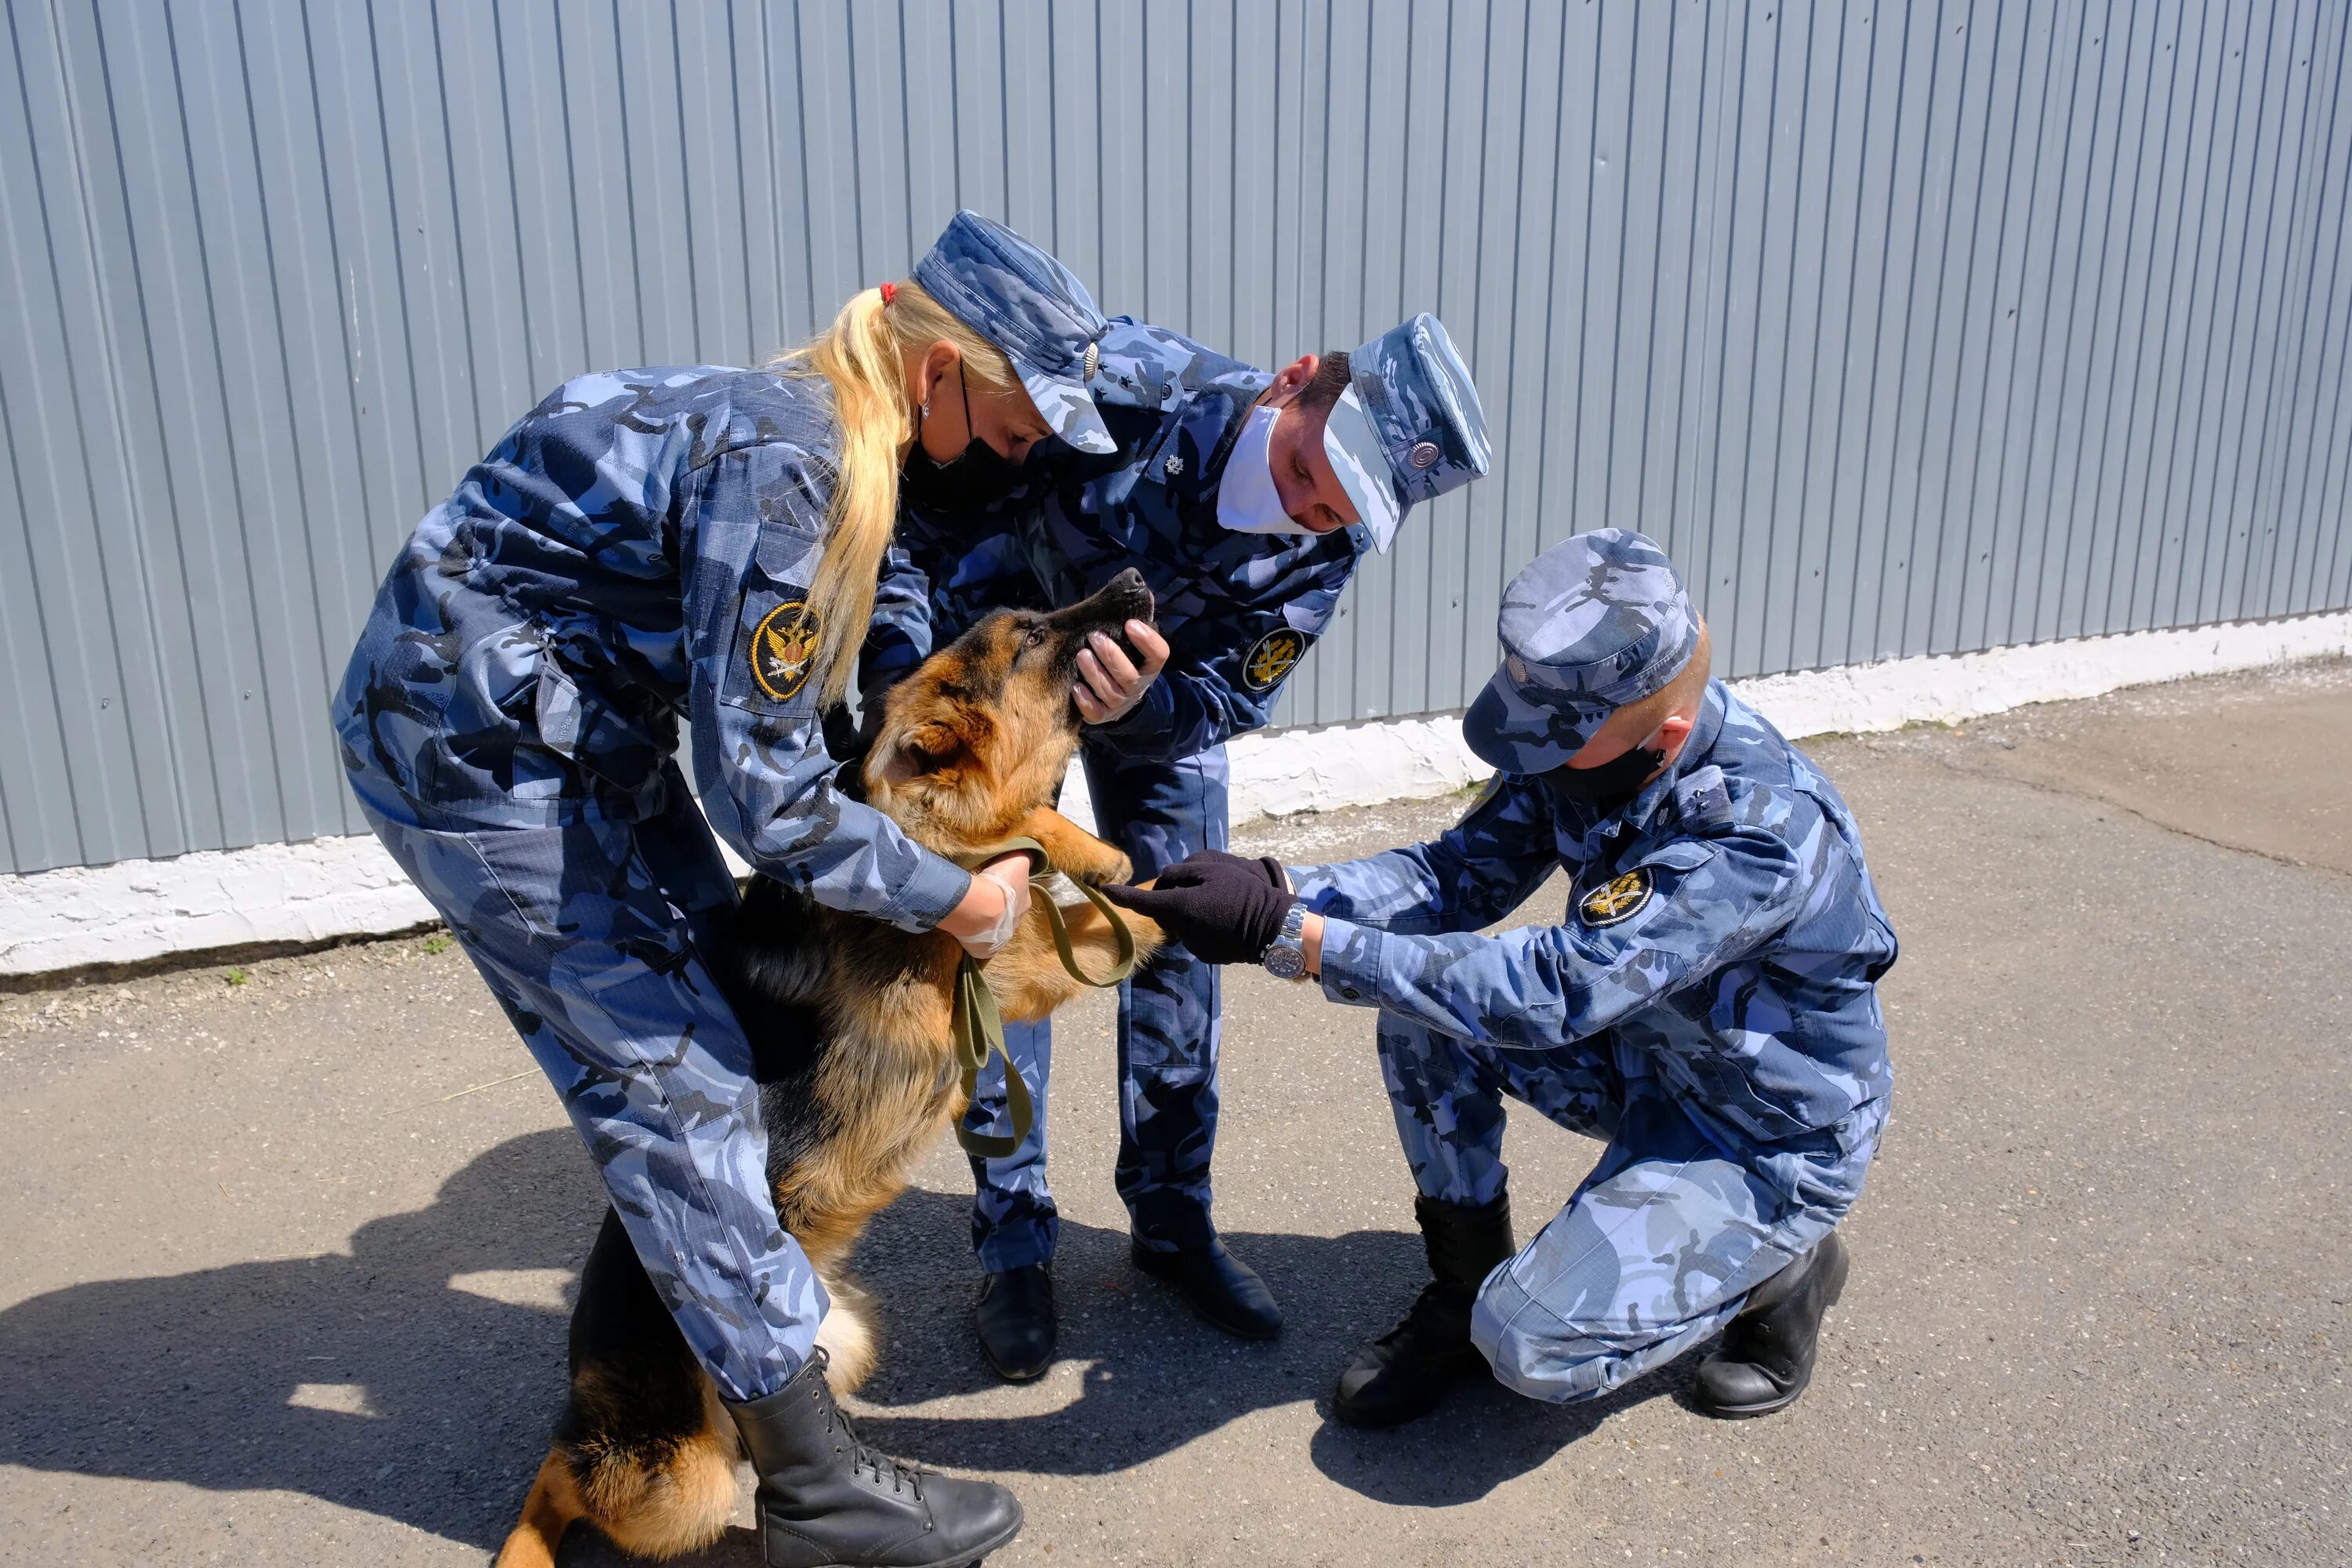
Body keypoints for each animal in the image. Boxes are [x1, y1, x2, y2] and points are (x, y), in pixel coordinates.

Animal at [499, 571, 1167, 1561]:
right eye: (1033, 632)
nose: (1131, 581)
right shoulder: (951, 995)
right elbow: (1025, 867)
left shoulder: (995, 977)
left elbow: (1055, 864)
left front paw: (1150, 873)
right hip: (677, 1478)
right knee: (589, 1490)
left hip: (843, 1340)